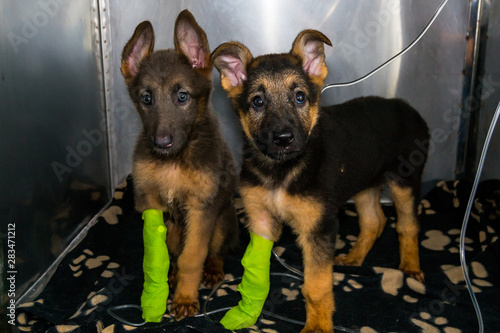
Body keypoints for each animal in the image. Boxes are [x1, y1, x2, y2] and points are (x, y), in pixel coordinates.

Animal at [120, 9, 238, 318]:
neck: (174, 161)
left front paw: (185, 299)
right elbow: (158, 254)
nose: (161, 142)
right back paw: (172, 275)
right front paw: (159, 290)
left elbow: (192, 257)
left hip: (222, 222)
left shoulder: (201, 208)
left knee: (216, 252)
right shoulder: (151, 204)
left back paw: (213, 271)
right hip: (174, 227)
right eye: (146, 98)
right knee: (174, 253)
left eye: (182, 96)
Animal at [213, 29, 428, 330]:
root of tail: (405, 106)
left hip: (404, 181)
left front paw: (317, 327)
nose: (283, 138)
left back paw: (410, 269)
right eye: (257, 102)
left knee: (407, 225)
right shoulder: (261, 220)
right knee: (375, 221)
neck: (281, 170)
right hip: (363, 182)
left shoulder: (318, 227)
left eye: (300, 97)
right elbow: (255, 271)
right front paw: (247, 312)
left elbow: (316, 285)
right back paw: (354, 258)